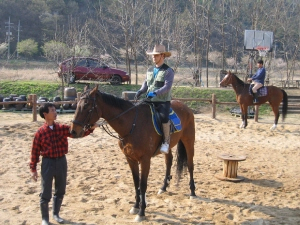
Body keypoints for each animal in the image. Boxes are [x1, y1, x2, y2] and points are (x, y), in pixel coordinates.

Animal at [70, 85, 197, 221]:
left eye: (86, 106)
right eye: (77, 105)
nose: (73, 131)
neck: (132, 124)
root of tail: (186, 107)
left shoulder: (145, 160)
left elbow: (143, 184)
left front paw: (141, 212)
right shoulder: (130, 159)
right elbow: (136, 182)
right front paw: (136, 206)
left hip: (189, 141)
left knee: (190, 165)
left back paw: (192, 192)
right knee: (169, 161)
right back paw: (163, 187)